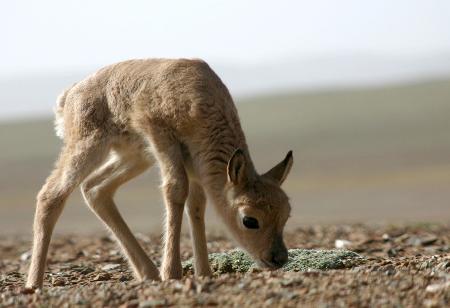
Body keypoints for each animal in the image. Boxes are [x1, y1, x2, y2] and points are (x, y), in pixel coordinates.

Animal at [28, 58, 296, 288]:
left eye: (286, 215)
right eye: (250, 220)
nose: (278, 258)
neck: (201, 98)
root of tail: (70, 94)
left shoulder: (194, 163)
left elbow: (196, 205)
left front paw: (204, 273)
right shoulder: (162, 137)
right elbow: (176, 189)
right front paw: (173, 272)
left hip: (135, 157)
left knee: (95, 189)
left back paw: (148, 272)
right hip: (88, 147)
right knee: (50, 195)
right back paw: (34, 283)